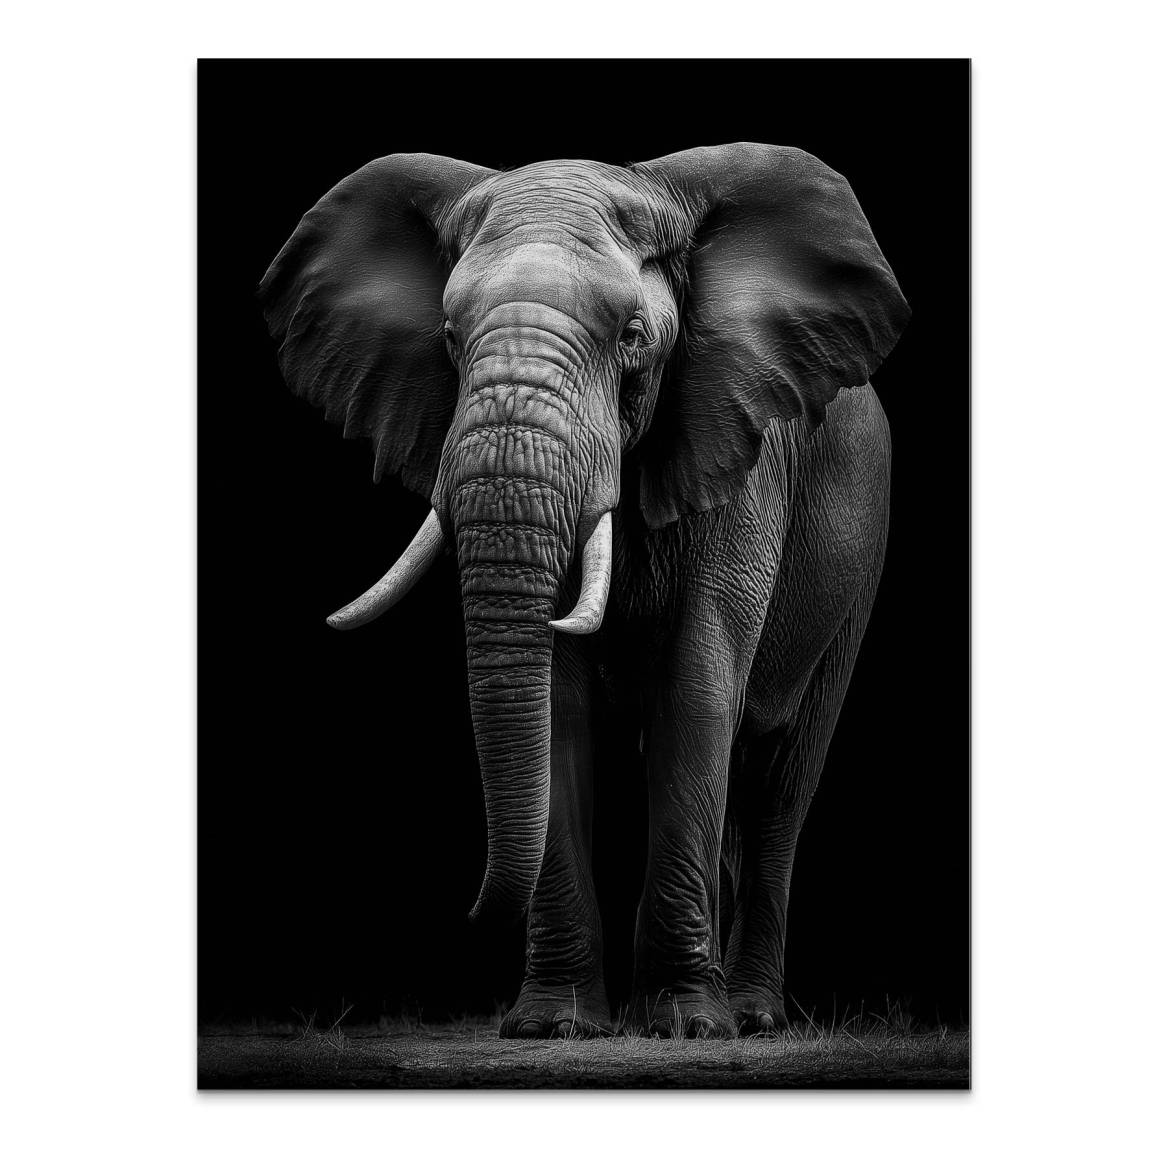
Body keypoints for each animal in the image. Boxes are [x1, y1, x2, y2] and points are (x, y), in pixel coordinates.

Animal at [260, 143, 909, 1039]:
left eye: (633, 337)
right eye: (450, 338)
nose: (463, 912)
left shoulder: (736, 452)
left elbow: (697, 687)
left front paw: (685, 1027)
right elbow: (558, 706)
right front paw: (552, 1025)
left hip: (859, 551)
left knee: (780, 779)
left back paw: (750, 1015)